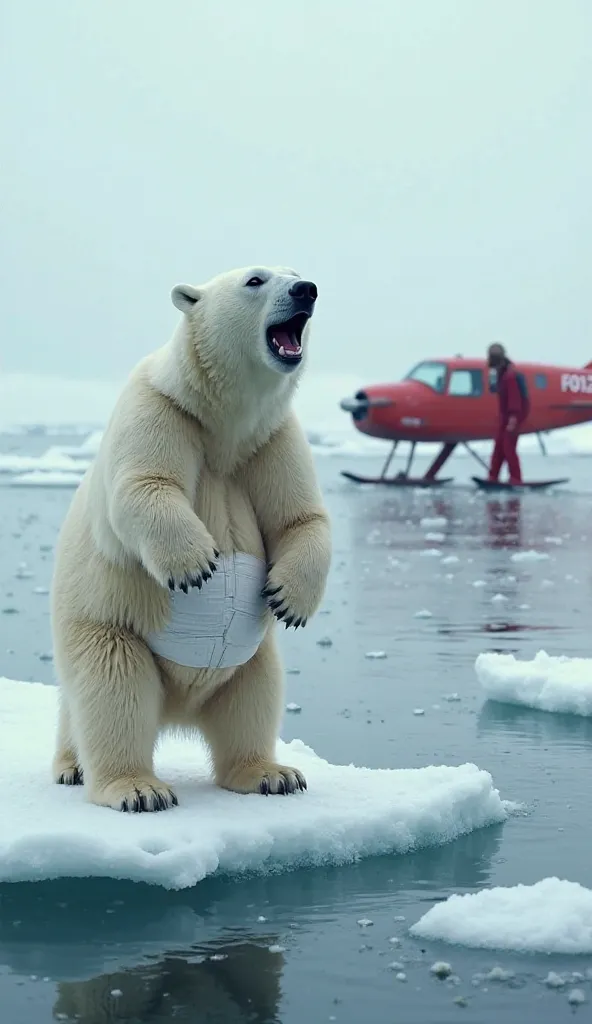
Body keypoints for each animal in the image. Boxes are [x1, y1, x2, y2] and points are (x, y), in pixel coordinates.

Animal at [49, 266, 331, 815]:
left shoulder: (272, 438)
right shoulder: (162, 408)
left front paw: (290, 599)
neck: (224, 426)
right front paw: (195, 564)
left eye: (296, 272)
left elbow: (300, 516)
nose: (305, 289)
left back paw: (272, 774)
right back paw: (126, 785)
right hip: (111, 624)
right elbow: (145, 484)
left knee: (254, 695)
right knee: (112, 690)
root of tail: (178, 709)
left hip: (249, 657)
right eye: (255, 279)